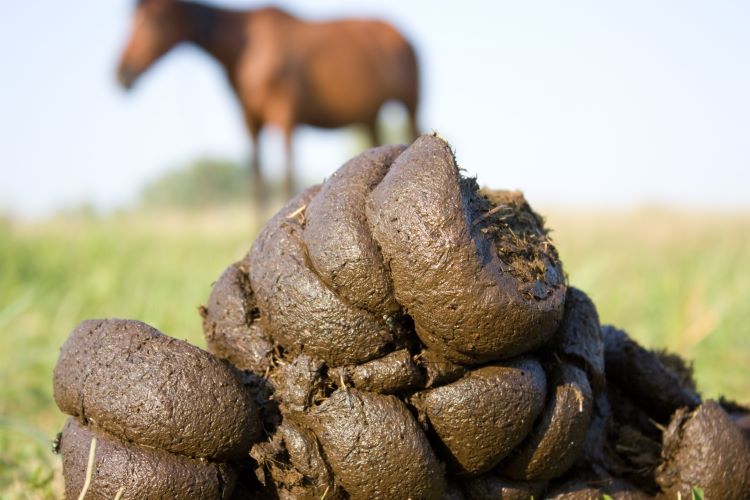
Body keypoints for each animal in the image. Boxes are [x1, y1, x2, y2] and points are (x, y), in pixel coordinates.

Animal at [118, 0, 424, 204]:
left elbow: (287, 174)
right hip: (369, 116)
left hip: (410, 104)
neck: (247, 47)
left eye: (155, 20)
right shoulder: (250, 120)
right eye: (130, 20)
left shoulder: (284, 114)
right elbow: (257, 181)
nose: (121, 73)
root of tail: (400, 35)